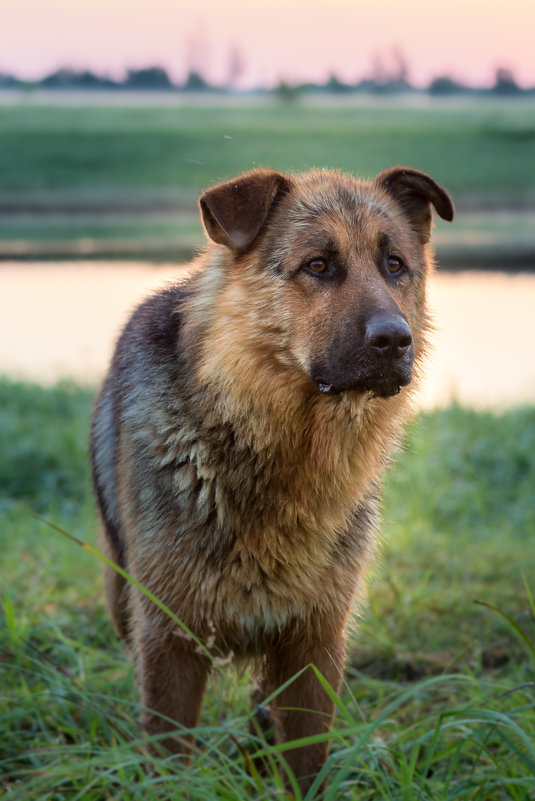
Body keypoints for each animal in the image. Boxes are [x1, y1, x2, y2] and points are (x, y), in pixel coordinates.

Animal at [91, 166, 452, 792]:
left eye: (395, 265)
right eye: (318, 265)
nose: (394, 340)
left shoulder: (313, 646)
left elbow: (307, 763)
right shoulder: (168, 644)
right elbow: (168, 761)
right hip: (123, 597)